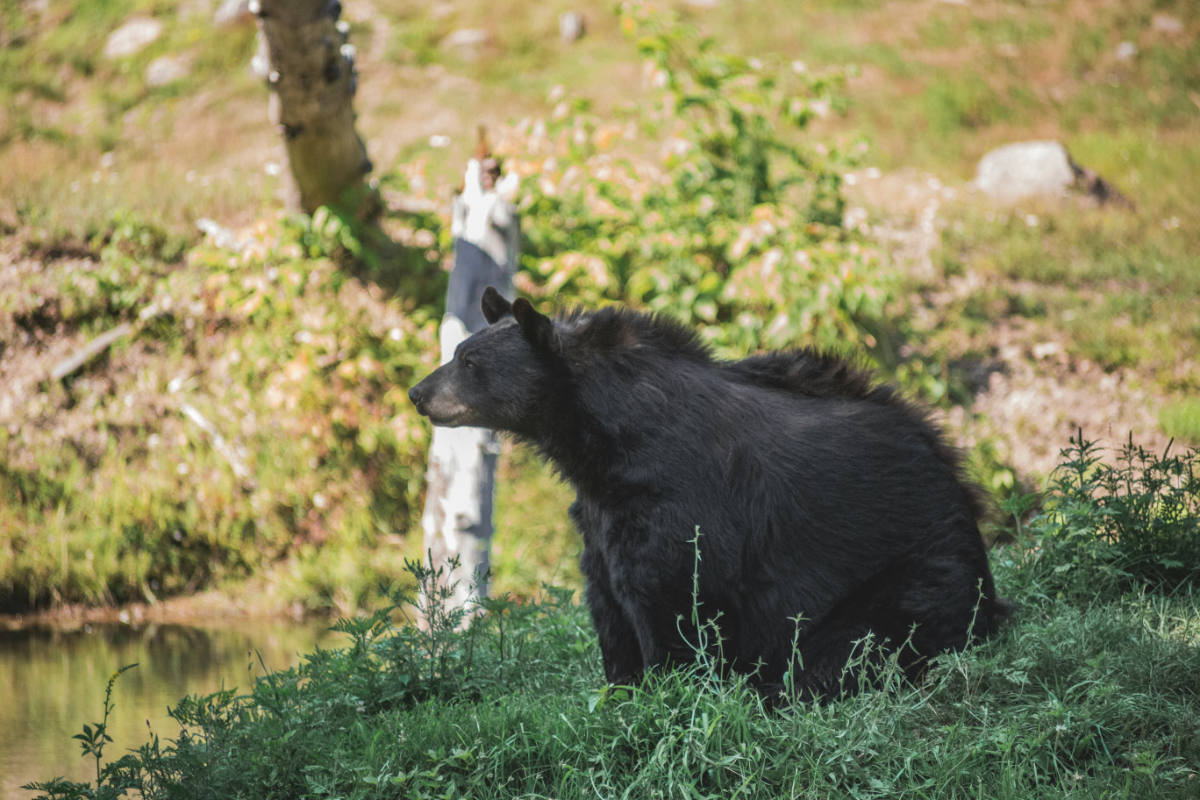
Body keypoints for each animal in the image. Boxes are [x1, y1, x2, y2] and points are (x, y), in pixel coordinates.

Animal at [409, 287, 1008, 700]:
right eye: (459, 350)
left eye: (469, 363)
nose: (417, 392)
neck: (601, 442)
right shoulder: (602, 514)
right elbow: (608, 603)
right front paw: (619, 689)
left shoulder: (678, 502)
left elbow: (670, 599)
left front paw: (669, 689)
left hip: (911, 573)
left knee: (854, 647)